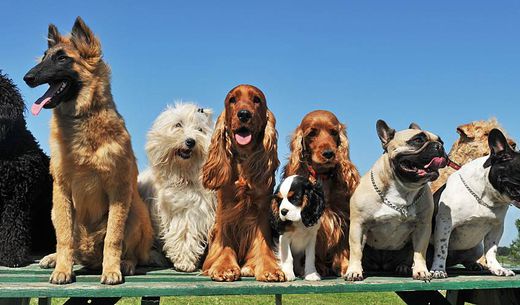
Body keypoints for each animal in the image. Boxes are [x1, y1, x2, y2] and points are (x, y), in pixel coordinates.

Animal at [23, 16, 152, 282]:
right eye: (44, 57)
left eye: (62, 58)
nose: (27, 78)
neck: (81, 120)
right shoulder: (61, 191)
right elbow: (64, 238)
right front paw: (62, 269)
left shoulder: (118, 190)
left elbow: (113, 237)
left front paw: (111, 269)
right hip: (55, 211)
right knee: (71, 243)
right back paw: (55, 259)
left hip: (136, 211)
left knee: (131, 250)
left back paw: (126, 263)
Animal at [138, 102, 215, 270]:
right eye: (178, 124)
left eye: (200, 129)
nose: (191, 141)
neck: (182, 175)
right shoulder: (181, 212)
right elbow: (183, 234)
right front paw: (184, 262)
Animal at [203, 84, 284, 282]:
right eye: (232, 100)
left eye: (257, 100)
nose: (244, 114)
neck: (244, 158)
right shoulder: (225, 209)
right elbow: (225, 241)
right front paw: (224, 266)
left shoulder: (261, 209)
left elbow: (262, 242)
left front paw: (269, 268)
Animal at [284, 109, 358, 276]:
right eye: (312, 133)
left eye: (334, 132)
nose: (329, 153)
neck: (323, 177)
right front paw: (314, 268)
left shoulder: (343, 215)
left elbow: (343, 245)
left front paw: (345, 266)